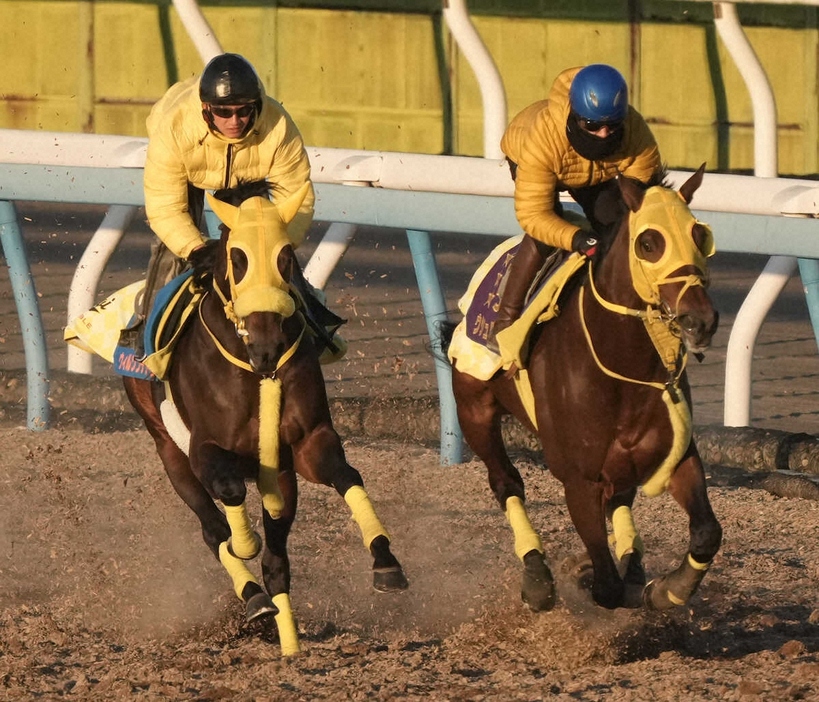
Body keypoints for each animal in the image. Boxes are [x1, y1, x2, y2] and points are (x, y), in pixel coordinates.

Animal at [122, 180, 410, 656]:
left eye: (286, 255)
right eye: (237, 258)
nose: (267, 345)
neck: (255, 370)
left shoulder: (306, 441)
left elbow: (346, 475)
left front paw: (386, 563)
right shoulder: (203, 448)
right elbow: (230, 492)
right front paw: (245, 544)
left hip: (281, 474)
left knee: (278, 558)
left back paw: (288, 641)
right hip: (167, 447)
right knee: (212, 528)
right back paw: (254, 597)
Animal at [448, 168, 724, 612]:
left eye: (700, 235)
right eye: (649, 243)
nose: (700, 320)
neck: (622, 365)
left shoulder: (678, 454)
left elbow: (707, 532)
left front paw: (666, 588)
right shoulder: (578, 479)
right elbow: (606, 587)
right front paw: (588, 577)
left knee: (620, 498)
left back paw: (634, 564)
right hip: (474, 409)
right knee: (506, 482)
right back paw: (538, 577)